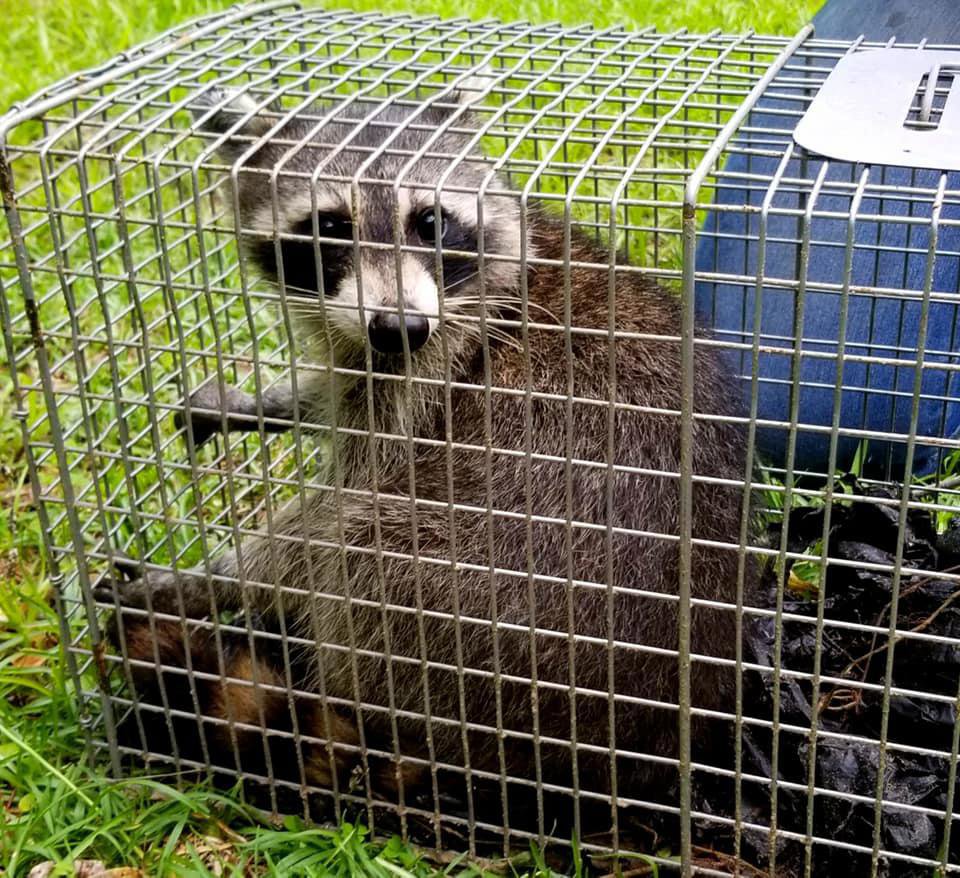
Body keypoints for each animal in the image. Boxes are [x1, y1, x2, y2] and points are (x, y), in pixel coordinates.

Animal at [103, 76, 756, 835]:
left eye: (429, 222)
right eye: (329, 227)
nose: (400, 326)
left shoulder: (433, 368)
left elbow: (321, 524)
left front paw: (207, 580)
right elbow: (333, 395)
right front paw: (268, 402)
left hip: (482, 610)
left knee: (360, 550)